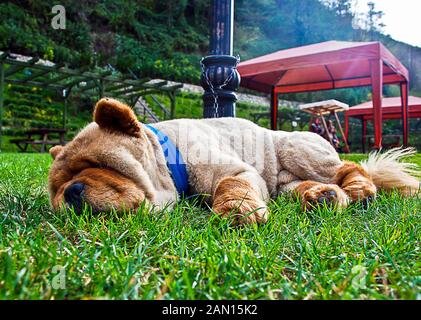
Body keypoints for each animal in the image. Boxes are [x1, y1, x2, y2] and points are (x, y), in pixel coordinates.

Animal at [47, 97, 418, 222]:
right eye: (56, 189)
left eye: (100, 165)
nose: (70, 191)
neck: (168, 154)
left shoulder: (233, 169)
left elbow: (231, 184)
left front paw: (237, 212)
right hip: (286, 183)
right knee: (308, 187)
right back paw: (321, 196)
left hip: (298, 148)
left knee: (349, 167)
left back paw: (358, 189)